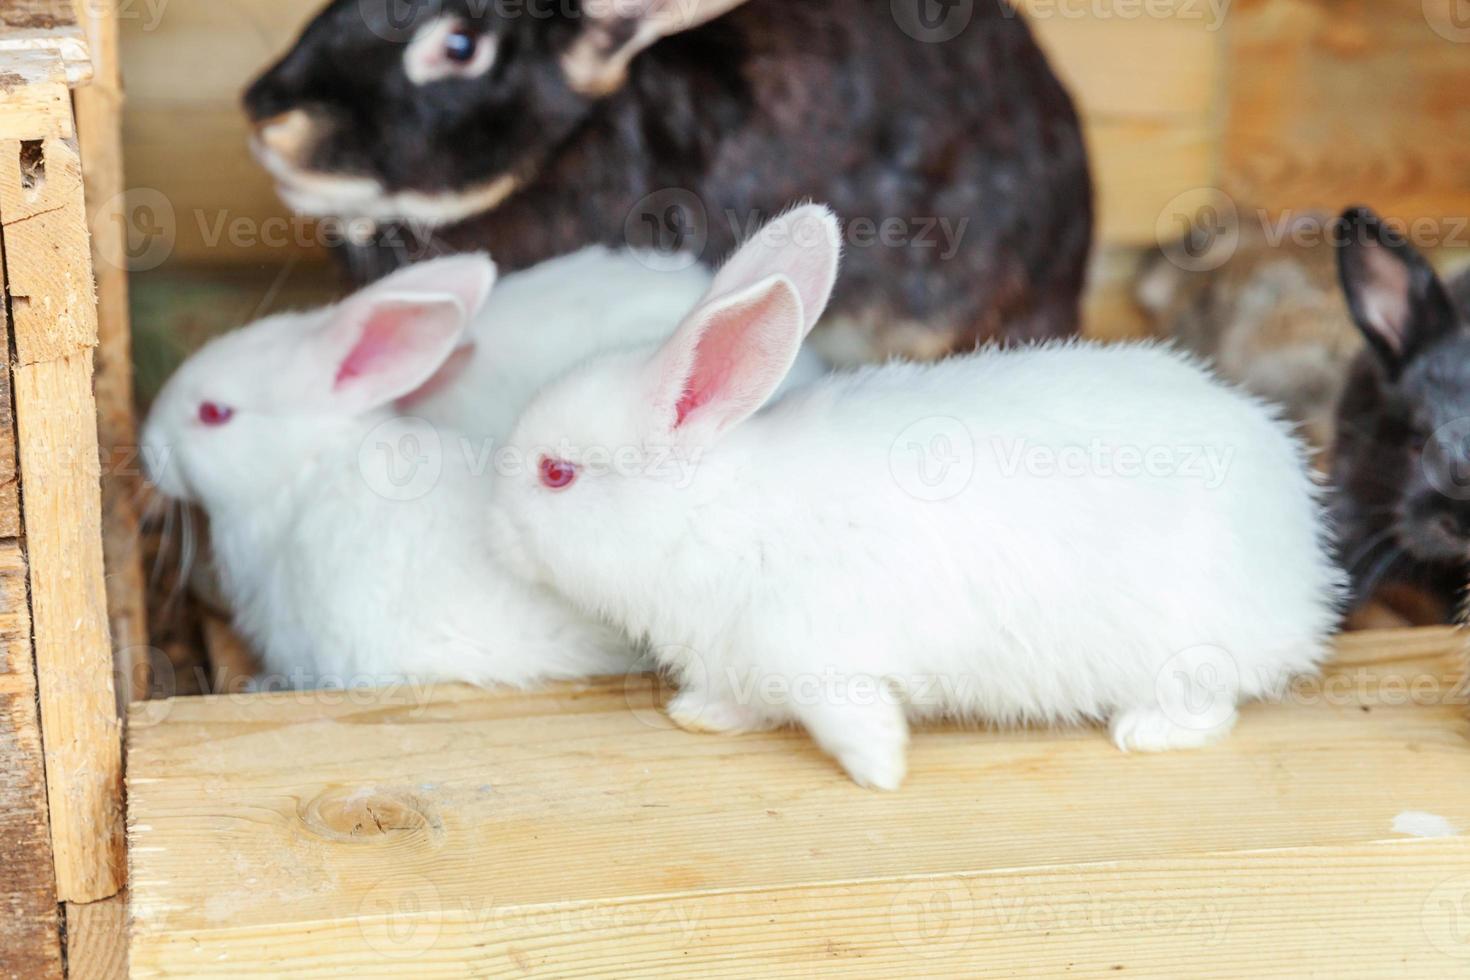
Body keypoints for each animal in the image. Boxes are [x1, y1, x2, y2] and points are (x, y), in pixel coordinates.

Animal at [490, 207, 1346, 787]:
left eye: (557, 473)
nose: (492, 522)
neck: (704, 513)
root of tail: (1304, 567)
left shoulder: (812, 651)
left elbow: (850, 718)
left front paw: (881, 771)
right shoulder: (743, 659)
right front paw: (702, 717)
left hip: (1184, 645)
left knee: (1212, 704)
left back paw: (1144, 732)